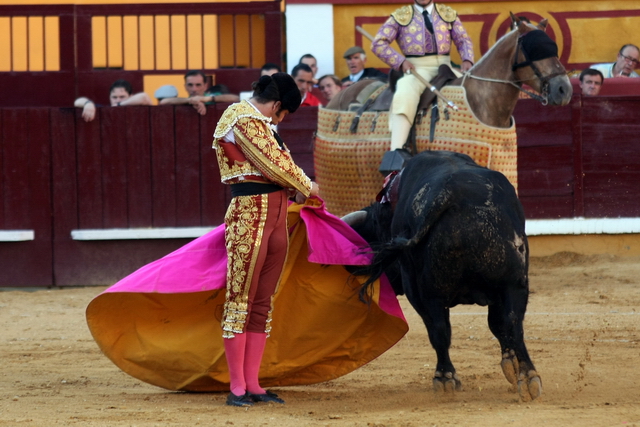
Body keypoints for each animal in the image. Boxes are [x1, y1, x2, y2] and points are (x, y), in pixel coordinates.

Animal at [348, 150, 544, 402]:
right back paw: (528, 378)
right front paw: (511, 363)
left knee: (439, 329)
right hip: (514, 282)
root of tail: (450, 194)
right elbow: (499, 324)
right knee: (514, 323)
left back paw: (444, 378)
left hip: (429, 290)